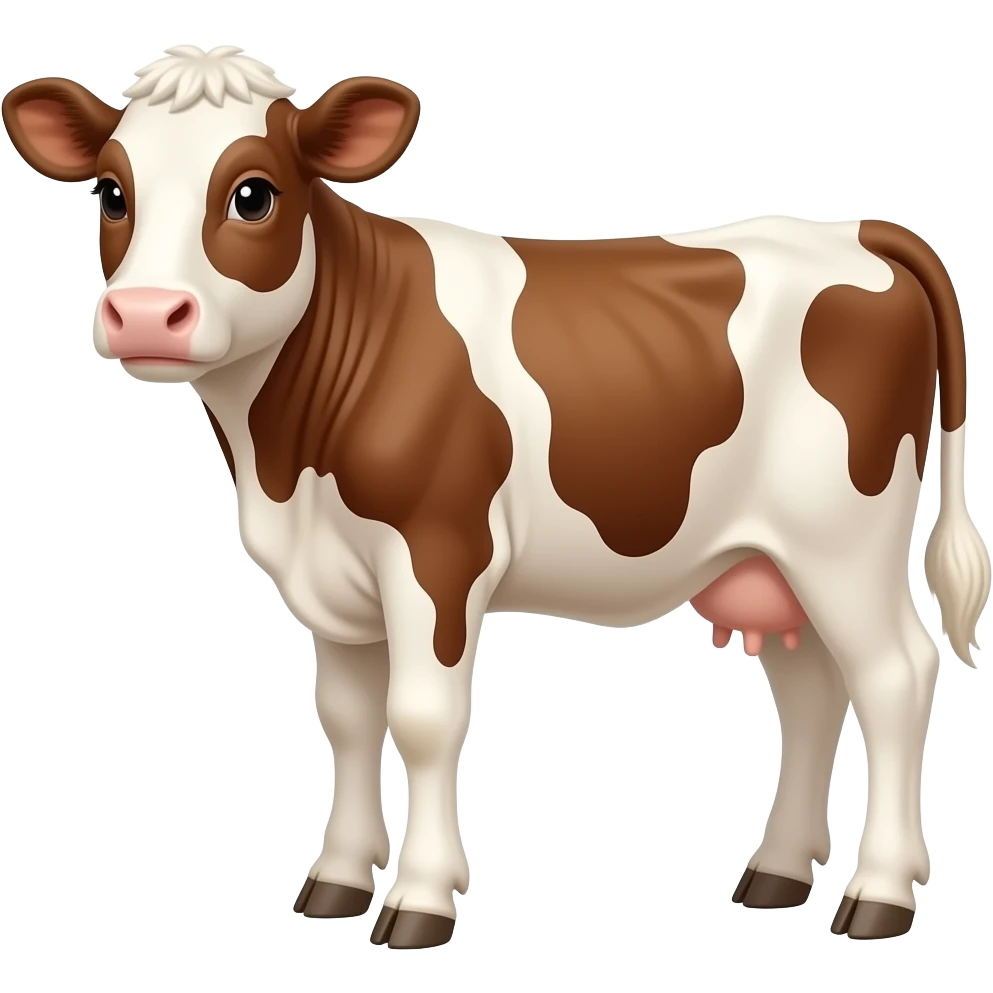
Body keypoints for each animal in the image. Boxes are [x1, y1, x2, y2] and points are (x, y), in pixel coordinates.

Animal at [2, 46, 988, 948]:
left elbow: (422, 719)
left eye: (253, 194)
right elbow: (347, 720)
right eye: (111, 194)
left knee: (895, 675)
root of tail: (858, 228)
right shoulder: (334, 579)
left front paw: (418, 901)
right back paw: (777, 872)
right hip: (768, 557)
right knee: (813, 689)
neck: (283, 461)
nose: (144, 314)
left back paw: (879, 894)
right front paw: (334, 881)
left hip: (844, 540)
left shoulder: (436, 552)